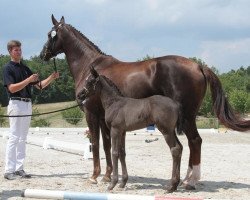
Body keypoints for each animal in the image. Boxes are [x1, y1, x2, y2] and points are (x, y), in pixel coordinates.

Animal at [39, 14, 250, 190]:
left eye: (51, 34)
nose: (42, 55)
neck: (91, 65)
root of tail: (198, 66)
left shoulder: (91, 114)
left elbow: (97, 144)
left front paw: (94, 176)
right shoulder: (103, 118)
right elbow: (108, 146)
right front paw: (107, 176)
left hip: (188, 117)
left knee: (194, 141)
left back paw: (189, 181)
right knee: (192, 143)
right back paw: (186, 179)